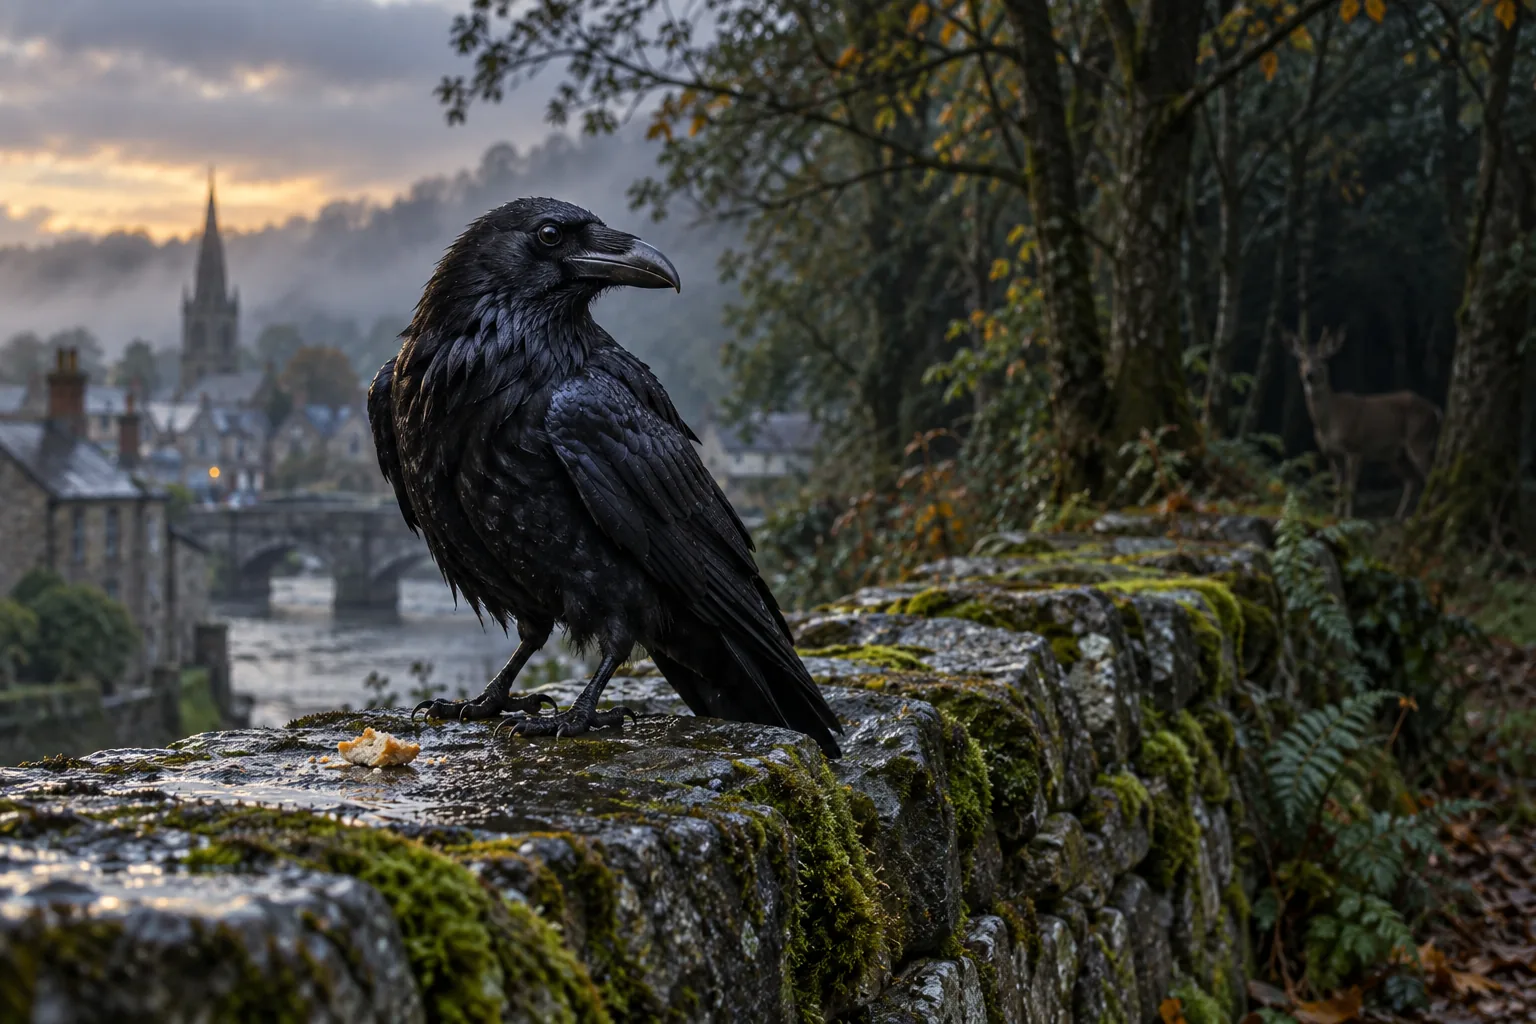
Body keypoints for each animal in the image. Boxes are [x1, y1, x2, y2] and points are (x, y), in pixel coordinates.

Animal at [1286, 326, 1442, 521]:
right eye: (1301, 359)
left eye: (1322, 359)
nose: (1309, 374)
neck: (1329, 422)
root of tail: (1435, 410)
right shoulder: (1330, 453)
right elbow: (1337, 487)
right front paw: (1335, 517)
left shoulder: (1355, 448)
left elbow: (1351, 488)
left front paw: (1348, 518)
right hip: (1396, 454)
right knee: (1412, 481)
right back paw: (1399, 516)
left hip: (1419, 439)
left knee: (1432, 474)